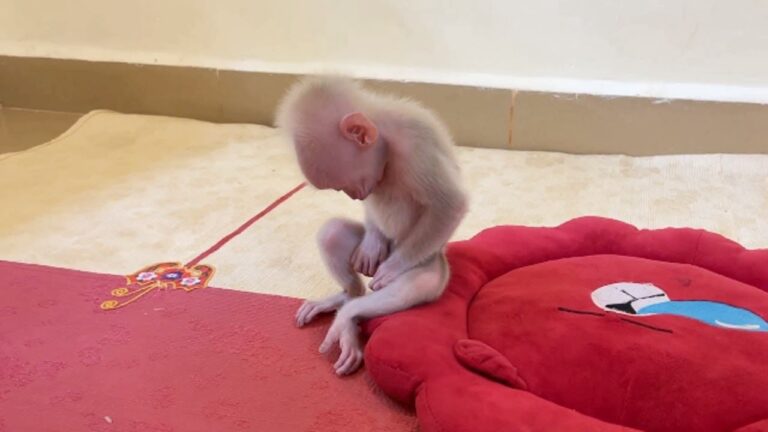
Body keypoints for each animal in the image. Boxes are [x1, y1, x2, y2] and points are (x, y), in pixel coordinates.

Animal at [275, 76, 468, 375]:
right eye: (340, 188)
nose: (353, 195)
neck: (386, 139)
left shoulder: (416, 144)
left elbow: (450, 205)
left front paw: (392, 267)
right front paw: (371, 244)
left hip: (429, 261)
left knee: (419, 281)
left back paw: (347, 319)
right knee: (332, 236)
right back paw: (345, 298)